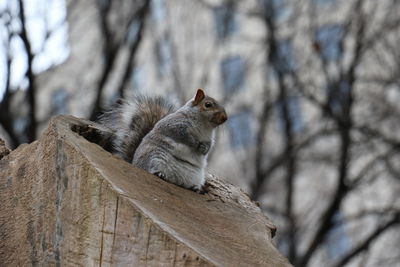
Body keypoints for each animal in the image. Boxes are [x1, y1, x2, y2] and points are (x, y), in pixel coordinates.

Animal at [98, 89, 227, 193]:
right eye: (208, 104)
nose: (225, 118)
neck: (205, 126)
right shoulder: (174, 126)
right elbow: (183, 136)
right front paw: (195, 144)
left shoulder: (209, 139)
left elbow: (209, 147)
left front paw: (203, 148)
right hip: (154, 157)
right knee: (151, 169)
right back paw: (159, 174)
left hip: (196, 176)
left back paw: (195, 188)